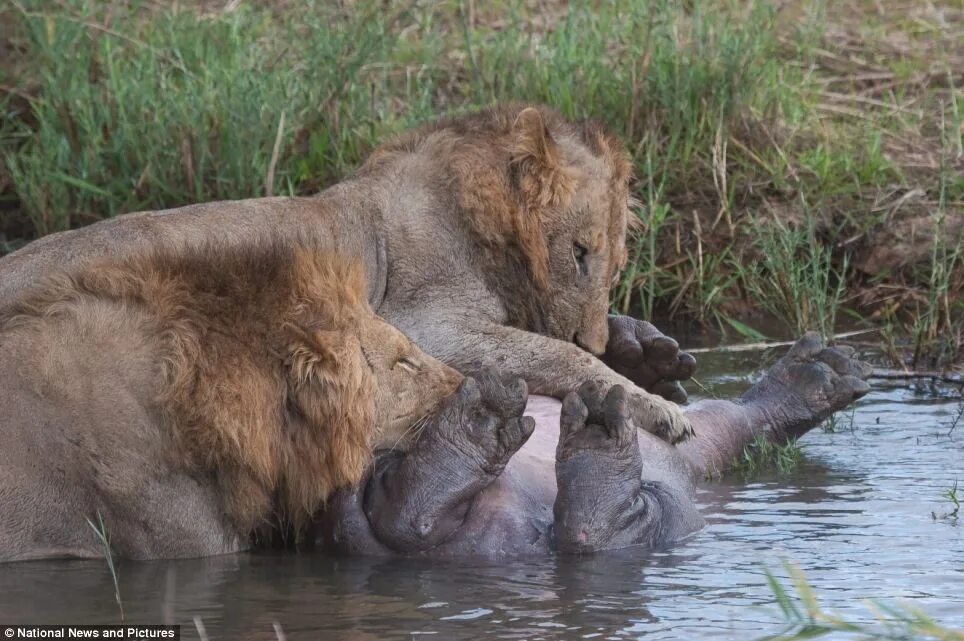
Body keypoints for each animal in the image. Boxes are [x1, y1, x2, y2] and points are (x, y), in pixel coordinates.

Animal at [0, 106, 692, 444]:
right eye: (578, 253)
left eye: (616, 265)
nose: (593, 334)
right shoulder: (425, 323)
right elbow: (560, 356)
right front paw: (657, 407)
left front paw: (648, 355)